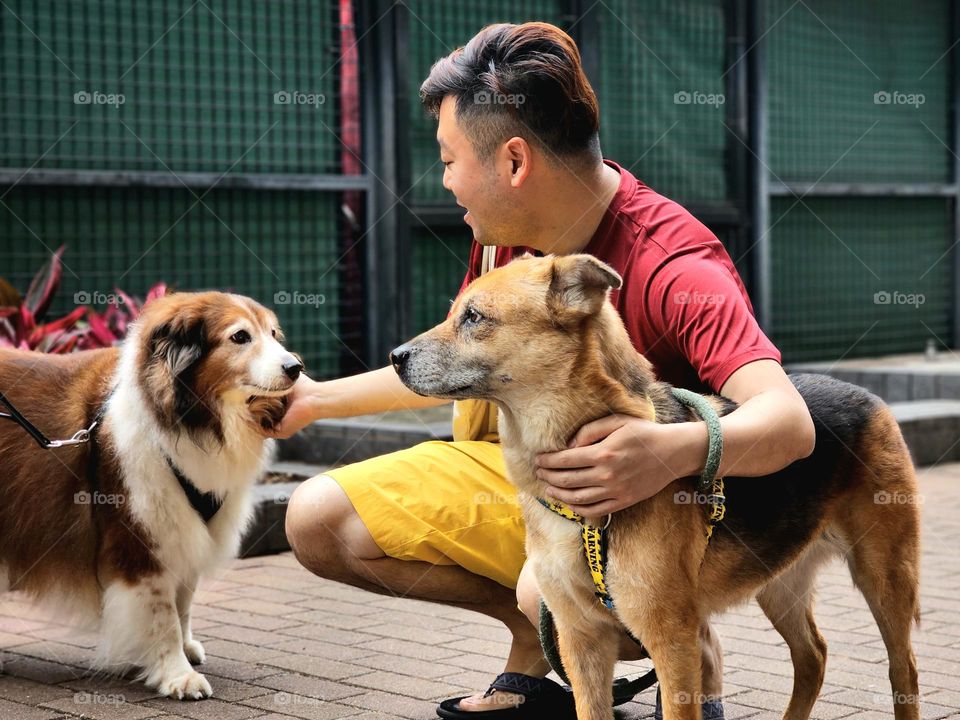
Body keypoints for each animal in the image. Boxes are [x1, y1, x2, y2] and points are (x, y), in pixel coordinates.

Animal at [0, 292, 300, 696]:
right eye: (240, 337)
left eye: (272, 333)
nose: (296, 367)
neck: (191, 420)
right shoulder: (139, 542)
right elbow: (163, 615)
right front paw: (177, 674)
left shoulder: (186, 533)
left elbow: (184, 601)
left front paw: (185, 650)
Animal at [390, 255, 924, 720]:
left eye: (474, 316)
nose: (394, 357)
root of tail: (867, 394)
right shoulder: (581, 638)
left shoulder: (670, 640)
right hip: (778, 578)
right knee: (813, 655)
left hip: (885, 577)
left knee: (904, 670)